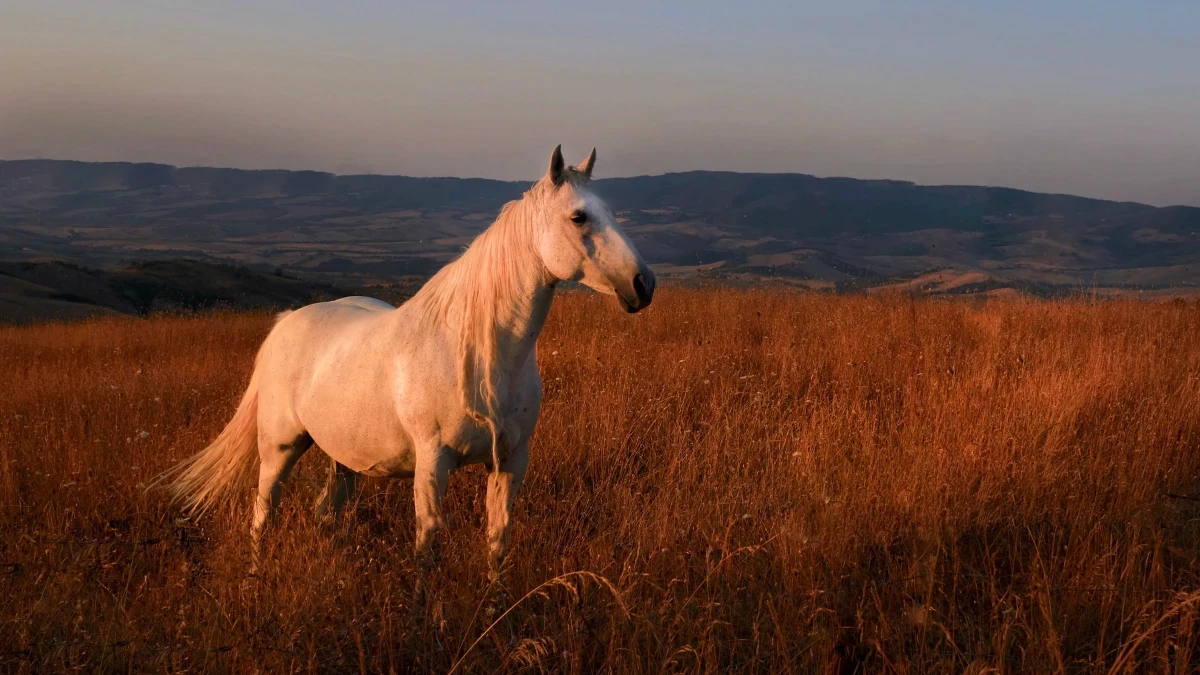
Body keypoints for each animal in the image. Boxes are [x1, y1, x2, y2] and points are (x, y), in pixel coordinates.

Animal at [160, 146, 655, 578]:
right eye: (578, 216)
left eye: (612, 212)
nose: (643, 283)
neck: (480, 356)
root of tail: (285, 323)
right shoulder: (433, 462)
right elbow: (427, 547)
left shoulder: (511, 461)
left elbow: (497, 541)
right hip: (279, 447)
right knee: (263, 514)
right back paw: (254, 578)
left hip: (344, 457)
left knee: (326, 511)